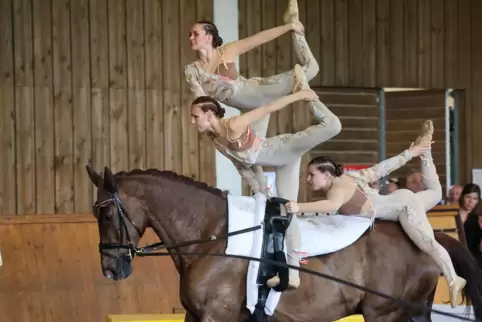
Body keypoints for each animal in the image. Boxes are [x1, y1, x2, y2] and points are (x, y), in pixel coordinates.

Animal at [85, 166, 482, 322]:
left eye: (105, 215)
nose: (110, 269)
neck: (215, 235)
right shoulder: (196, 316)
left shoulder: (217, 315)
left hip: (384, 314)